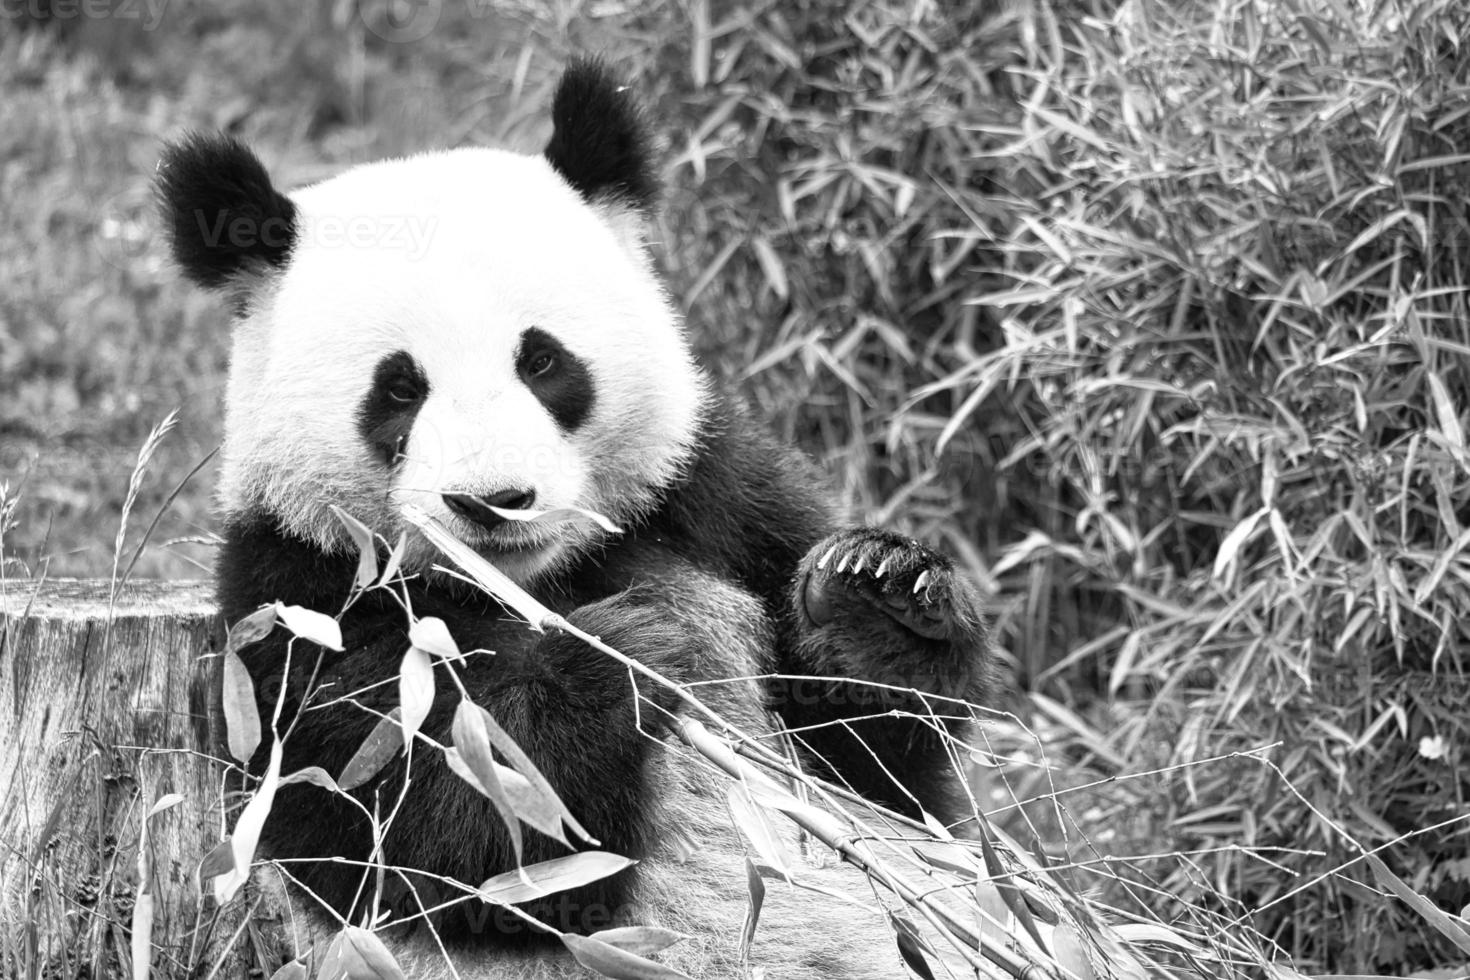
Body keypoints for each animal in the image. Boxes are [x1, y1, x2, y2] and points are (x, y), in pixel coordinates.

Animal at [155, 57, 993, 975]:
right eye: (399, 389)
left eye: (543, 361)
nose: (492, 499)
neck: (532, 580)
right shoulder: (296, 600)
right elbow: (442, 826)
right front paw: (625, 651)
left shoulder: (713, 498)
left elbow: (886, 773)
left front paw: (874, 593)